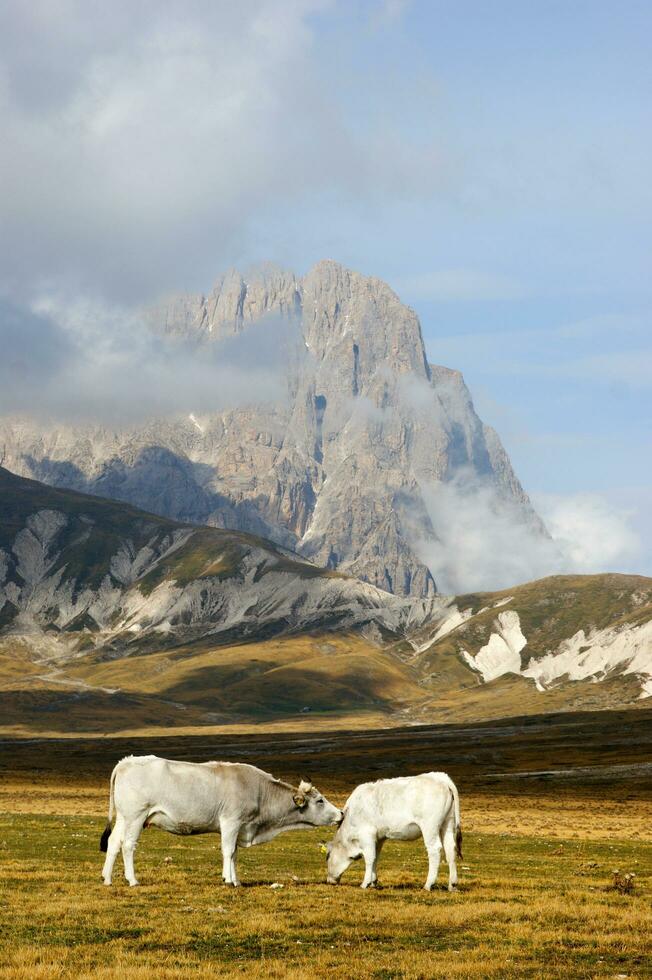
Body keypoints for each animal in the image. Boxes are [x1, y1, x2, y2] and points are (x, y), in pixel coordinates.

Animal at [100, 756, 342, 888]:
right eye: (320, 800)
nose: (341, 813)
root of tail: (126, 762)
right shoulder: (230, 822)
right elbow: (227, 851)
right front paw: (228, 880)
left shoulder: (240, 827)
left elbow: (234, 853)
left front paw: (236, 880)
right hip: (136, 817)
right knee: (127, 846)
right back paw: (133, 880)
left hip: (123, 818)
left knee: (113, 843)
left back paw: (107, 879)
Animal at [324, 768, 458, 892]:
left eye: (327, 856)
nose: (329, 881)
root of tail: (440, 777)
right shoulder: (379, 838)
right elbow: (376, 857)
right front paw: (373, 882)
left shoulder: (367, 835)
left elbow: (369, 858)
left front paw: (365, 883)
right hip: (448, 824)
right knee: (450, 849)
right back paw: (452, 885)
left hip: (430, 827)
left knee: (434, 849)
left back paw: (428, 884)